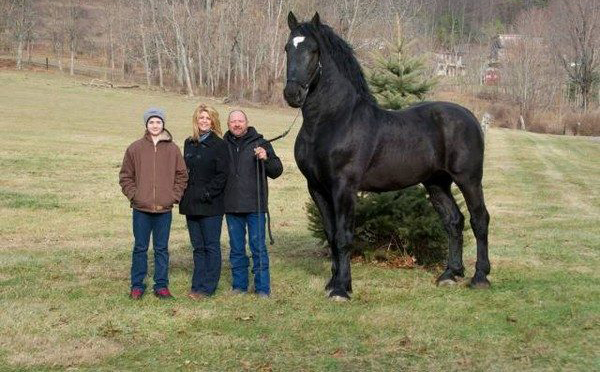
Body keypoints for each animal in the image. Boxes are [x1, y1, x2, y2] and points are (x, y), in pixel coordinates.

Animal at [284, 13, 490, 300]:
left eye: (313, 50)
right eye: (287, 48)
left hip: (468, 179)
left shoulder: (344, 187)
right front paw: (333, 282)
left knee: (479, 219)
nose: (292, 94)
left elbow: (344, 237)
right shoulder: (316, 188)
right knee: (454, 221)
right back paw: (450, 274)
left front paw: (342, 289)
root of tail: (470, 116)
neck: (333, 120)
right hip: (437, 183)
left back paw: (480, 277)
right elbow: (331, 234)